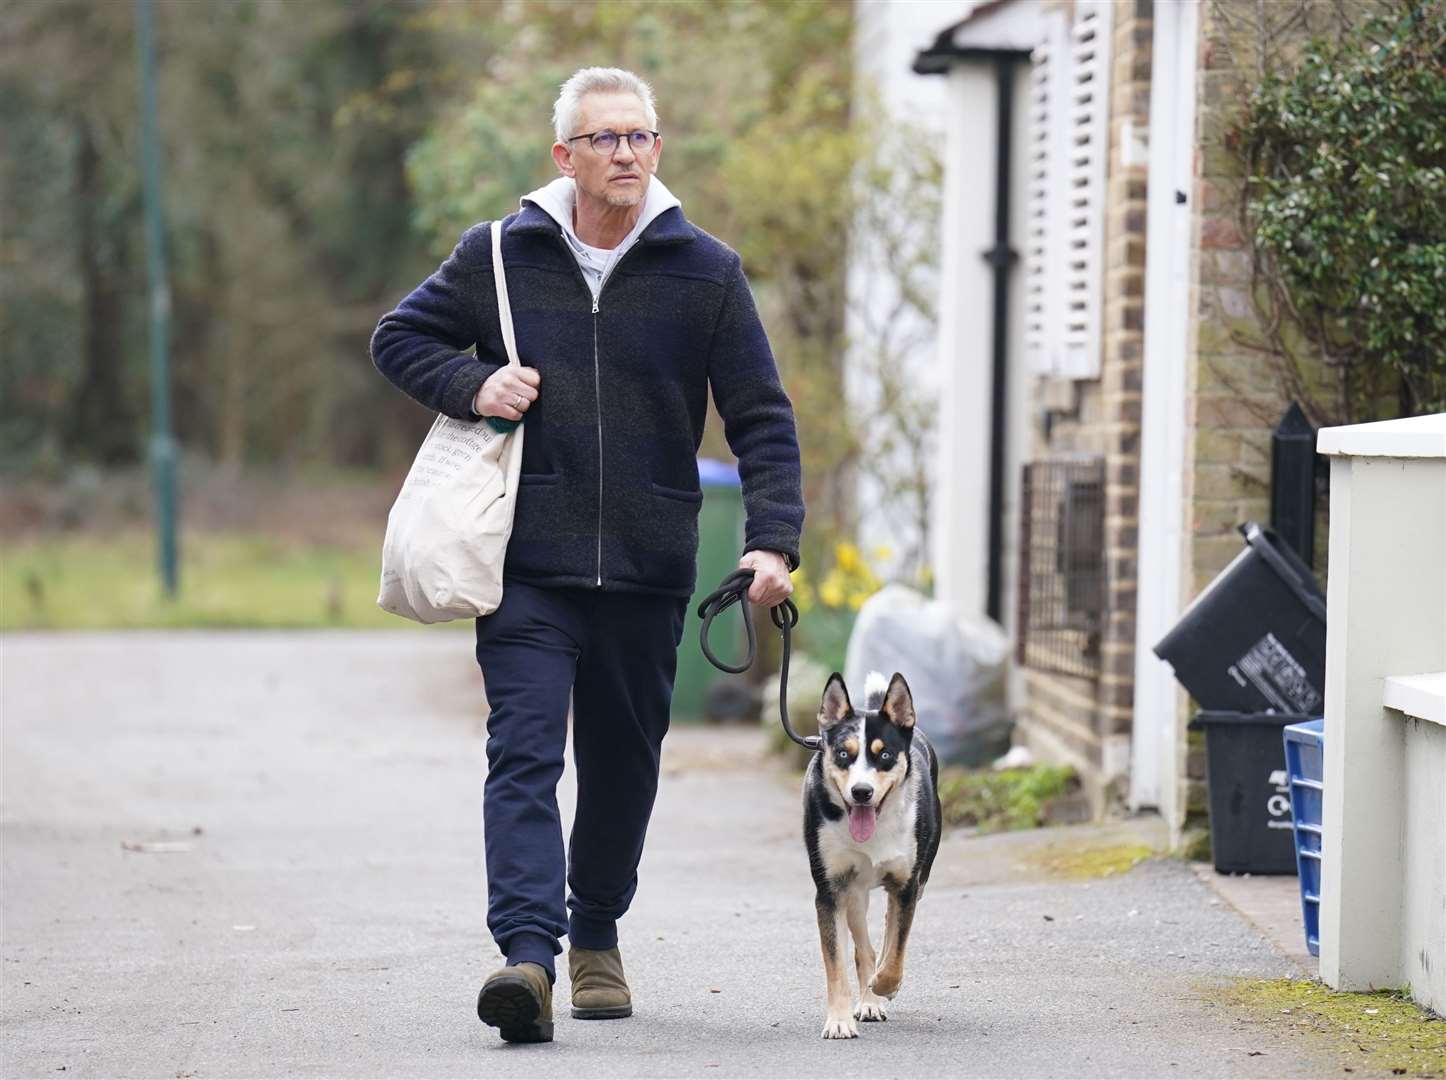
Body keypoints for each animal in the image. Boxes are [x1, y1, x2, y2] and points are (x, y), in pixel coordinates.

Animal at [798, 667, 942, 1040]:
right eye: (843, 754)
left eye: (885, 755)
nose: (861, 792)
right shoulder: (830, 890)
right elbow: (836, 962)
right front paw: (839, 1020)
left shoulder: (906, 886)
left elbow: (896, 950)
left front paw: (886, 986)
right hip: (854, 894)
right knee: (865, 948)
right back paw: (867, 1002)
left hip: (915, 882)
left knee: (889, 933)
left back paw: (876, 995)